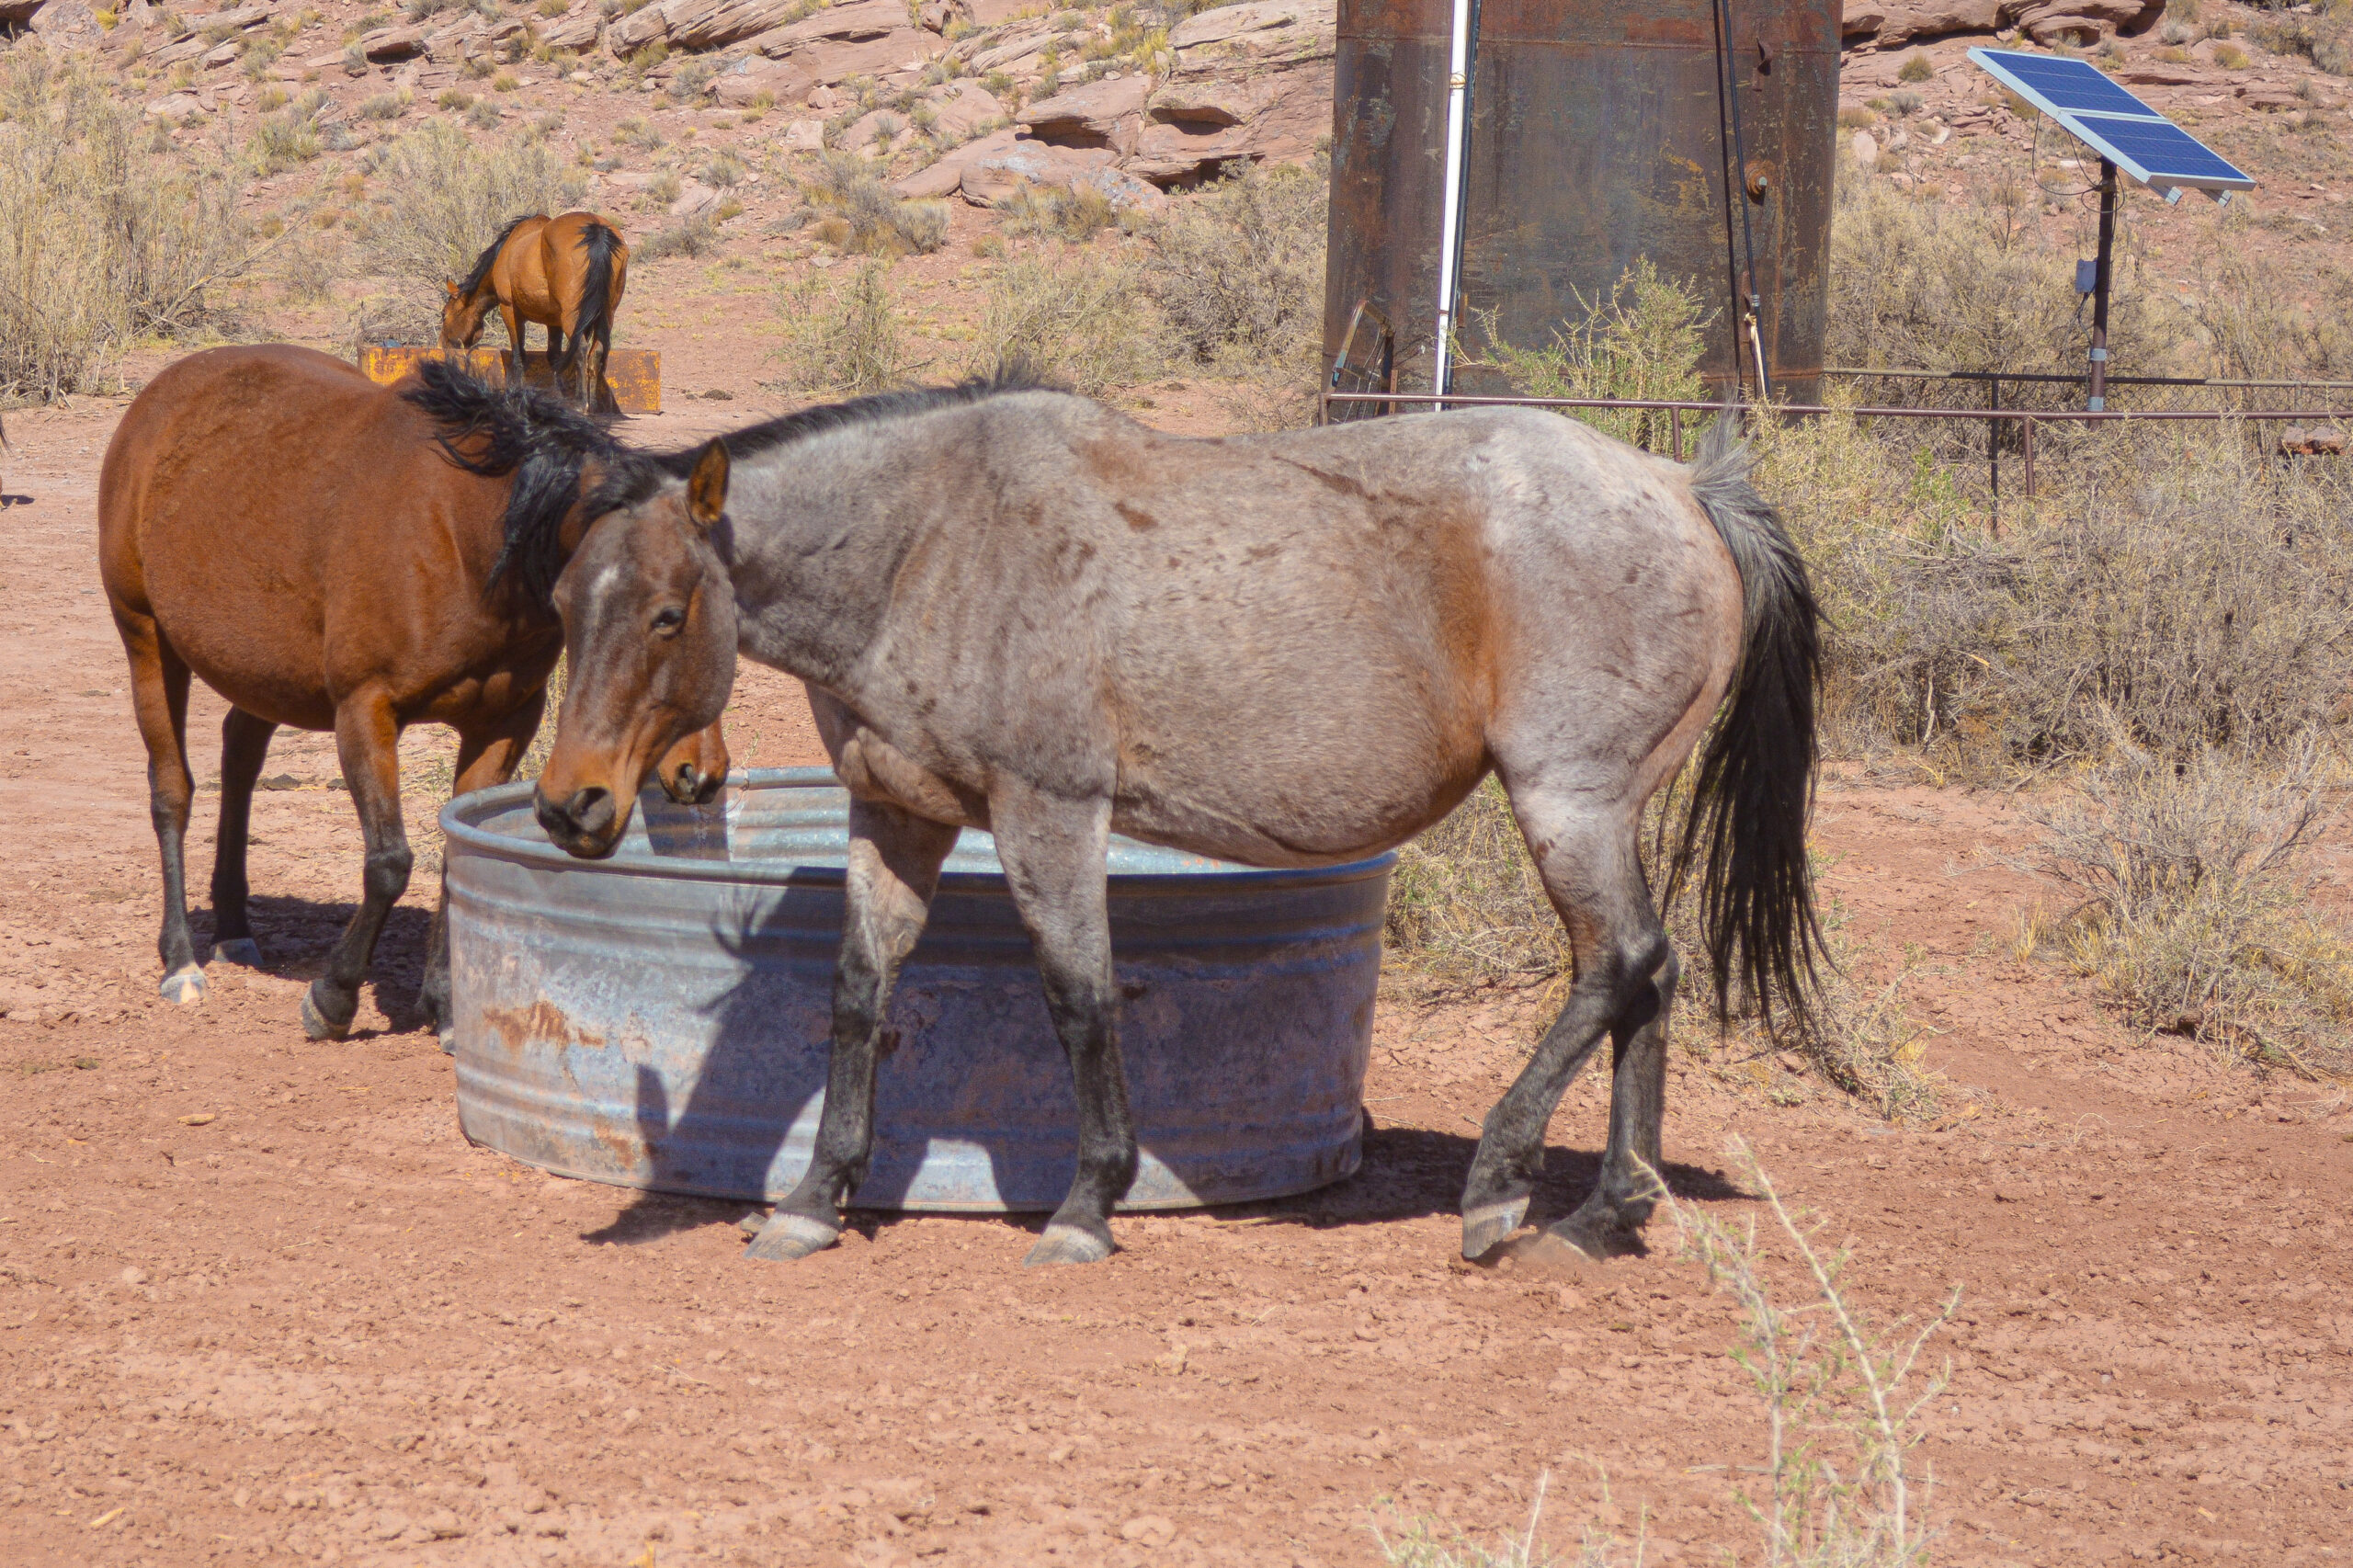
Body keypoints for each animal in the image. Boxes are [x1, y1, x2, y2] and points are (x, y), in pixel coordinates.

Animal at [97, 345, 727, 1044]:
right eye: (666, 615)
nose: (703, 771)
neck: (465, 536)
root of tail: (158, 396)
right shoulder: (365, 710)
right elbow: (389, 862)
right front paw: (333, 998)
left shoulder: (504, 723)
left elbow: (458, 847)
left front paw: (446, 1007)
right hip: (146, 639)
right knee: (172, 791)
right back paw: (181, 958)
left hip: (264, 671)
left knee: (240, 756)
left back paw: (234, 926)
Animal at [439, 211, 629, 412]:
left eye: (444, 314)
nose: (443, 345)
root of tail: (596, 228)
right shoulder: (554, 322)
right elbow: (553, 358)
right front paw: (558, 396)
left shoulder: (510, 310)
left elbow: (519, 355)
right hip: (605, 316)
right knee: (596, 352)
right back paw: (593, 404)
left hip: (572, 317)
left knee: (581, 350)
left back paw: (580, 402)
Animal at [454, 374, 1823, 1270]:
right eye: (565, 601)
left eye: (668, 614)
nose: (574, 804)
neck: (932, 544)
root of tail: (1680, 485)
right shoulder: (895, 813)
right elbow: (854, 991)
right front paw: (810, 1196)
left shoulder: (1048, 811)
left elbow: (1081, 997)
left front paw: (1085, 1203)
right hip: (1602, 812)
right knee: (1650, 976)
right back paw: (1607, 1211)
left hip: (1566, 801)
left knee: (1618, 963)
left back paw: (1498, 1186)